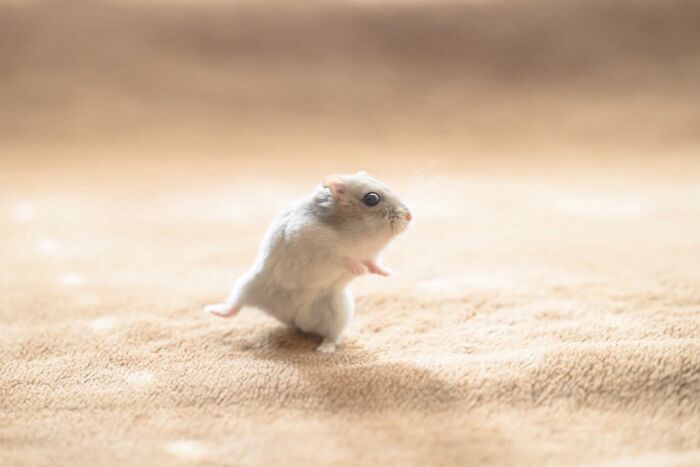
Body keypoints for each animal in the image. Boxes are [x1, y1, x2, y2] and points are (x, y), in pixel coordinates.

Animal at [204, 171, 412, 352]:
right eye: (371, 199)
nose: (410, 216)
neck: (360, 236)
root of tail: (292, 318)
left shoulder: (371, 255)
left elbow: (373, 263)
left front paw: (386, 273)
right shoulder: (314, 246)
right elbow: (342, 258)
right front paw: (359, 269)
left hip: (339, 310)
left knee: (332, 335)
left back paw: (324, 349)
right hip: (249, 283)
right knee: (235, 305)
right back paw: (213, 311)